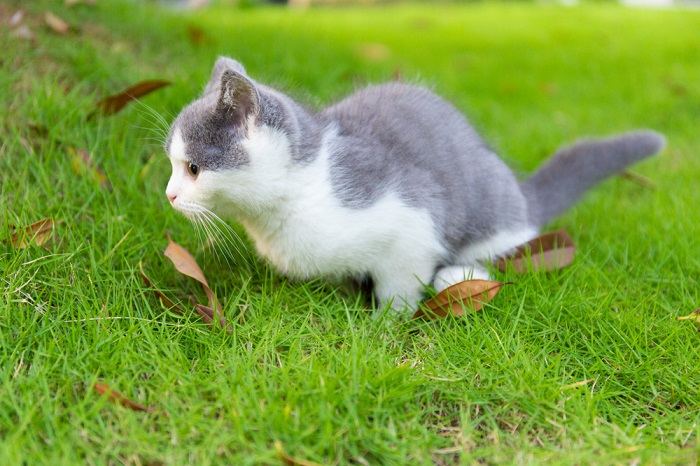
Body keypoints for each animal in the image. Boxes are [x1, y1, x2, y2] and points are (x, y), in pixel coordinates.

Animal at [163, 56, 660, 314]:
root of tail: (521, 196)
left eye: (193, 168)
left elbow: (401, 278)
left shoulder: (410, 216)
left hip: (490, 215)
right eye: (171, 164)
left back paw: (461, 276)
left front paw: (385, 322)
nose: (168, 195)